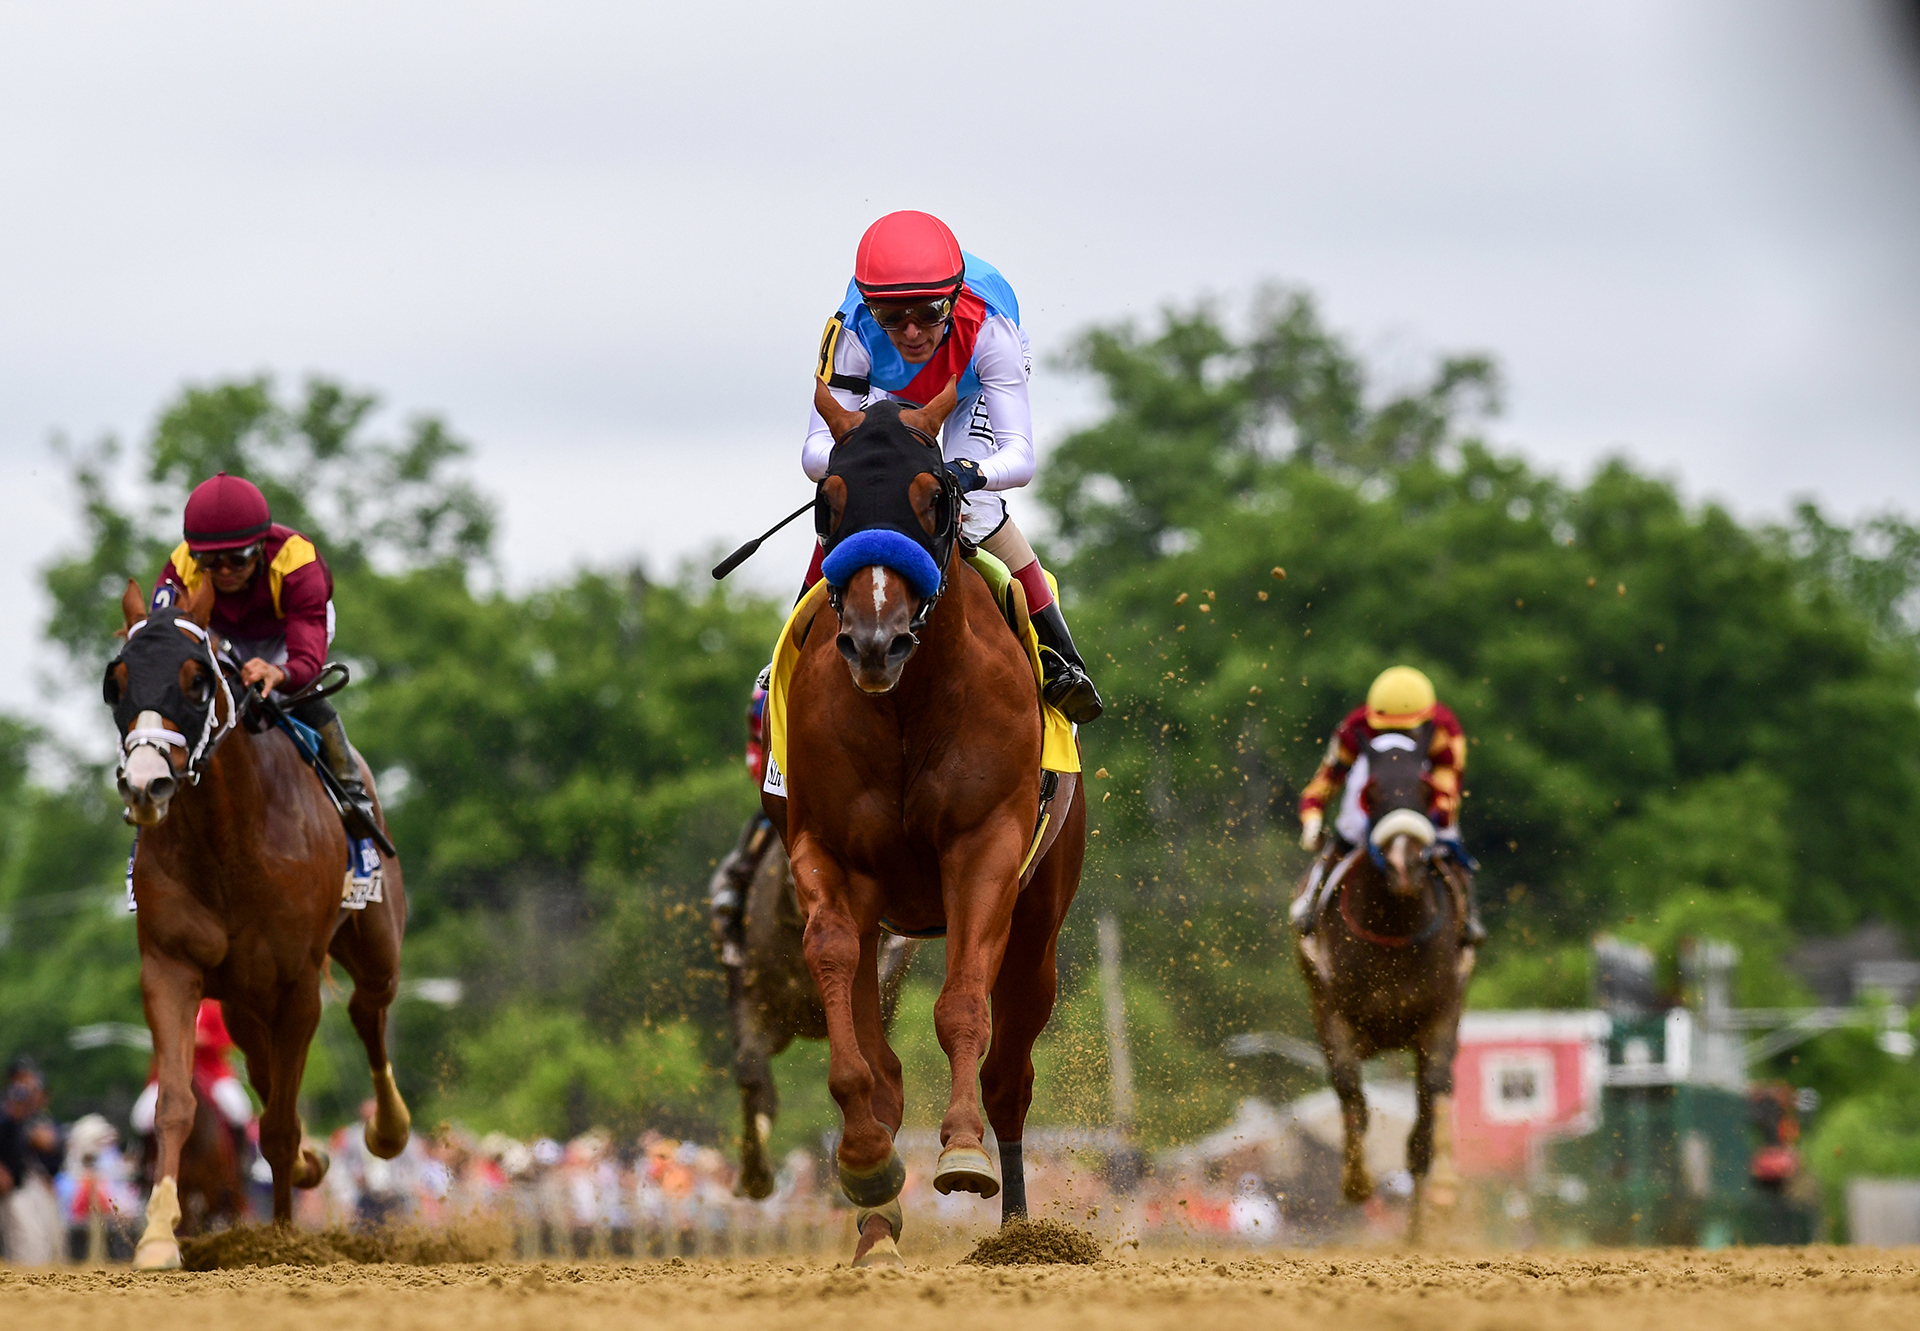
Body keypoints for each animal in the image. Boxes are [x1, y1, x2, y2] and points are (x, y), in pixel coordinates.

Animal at [107, 580, 410, 1267]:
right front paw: (158, 1238)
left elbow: (277, 1125)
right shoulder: (170, 967)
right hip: (245, 998)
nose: (145, 785)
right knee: (266, 1069)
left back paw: (386, 1129)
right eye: (117, 681)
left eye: (196, 680)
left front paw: (282, 1239)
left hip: (374, 940)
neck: (228, 838)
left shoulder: (297, 984)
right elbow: (177, 1103)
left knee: (368, 1009)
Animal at [768, 382, 1098, 1267]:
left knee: (1010, 1072)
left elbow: (961, 1011)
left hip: (1039, 926)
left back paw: (1020, 1229)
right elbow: (845, 999)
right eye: (829, 499)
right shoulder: (828, 855)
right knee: (884, 1054)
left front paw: (961, 1152)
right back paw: (877, 1227)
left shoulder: (983, 848)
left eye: (936, 498)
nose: (875, 640)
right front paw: (866, 1163)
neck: (907, 709)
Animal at [1297, 722, 1474, 1244]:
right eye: (1370, 792)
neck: (1394, 924)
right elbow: (1349, 1090)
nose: (1403, 864)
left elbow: (1427, 1116)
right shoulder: (1334, 1012)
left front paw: (1424, 1216)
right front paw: (1356, 1182)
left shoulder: (1440, 1016)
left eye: (1426, 788)